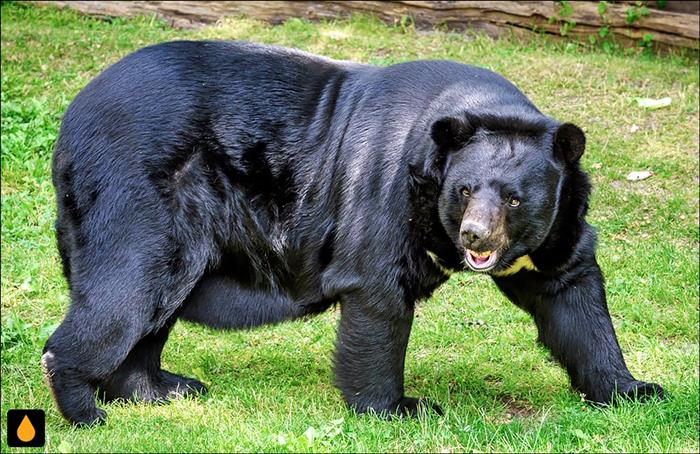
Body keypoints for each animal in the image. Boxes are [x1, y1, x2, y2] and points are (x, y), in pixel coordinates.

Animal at [42, 40, 660, 426]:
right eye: (464, 190)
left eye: (514, 197)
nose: (475, 238)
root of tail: (73, 116)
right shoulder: (385, 187)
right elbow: (377, 293)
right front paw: (399, 407)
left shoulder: (557, 224)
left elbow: (570, 292)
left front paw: (635, 389)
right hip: (139, 195)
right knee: (129, 287)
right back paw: (86, 409)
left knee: (153, 307)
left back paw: (160, 388)